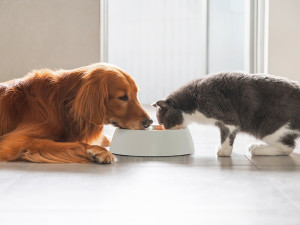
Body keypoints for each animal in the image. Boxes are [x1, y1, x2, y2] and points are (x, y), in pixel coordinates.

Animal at [0, 62, 151, 163]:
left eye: (136, 94)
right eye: (123, 97)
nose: (149, 122)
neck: (61, 103)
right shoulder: (14, 141)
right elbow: (71, 143)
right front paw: (97, 151)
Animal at [154, 72, 298, 156]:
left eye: (163, 121)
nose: (164, 128)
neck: (193, 101)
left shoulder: (227, 119)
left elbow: (226, 136)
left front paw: (224, 151)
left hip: (268, 126)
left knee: (287, 147)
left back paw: (258, 149)